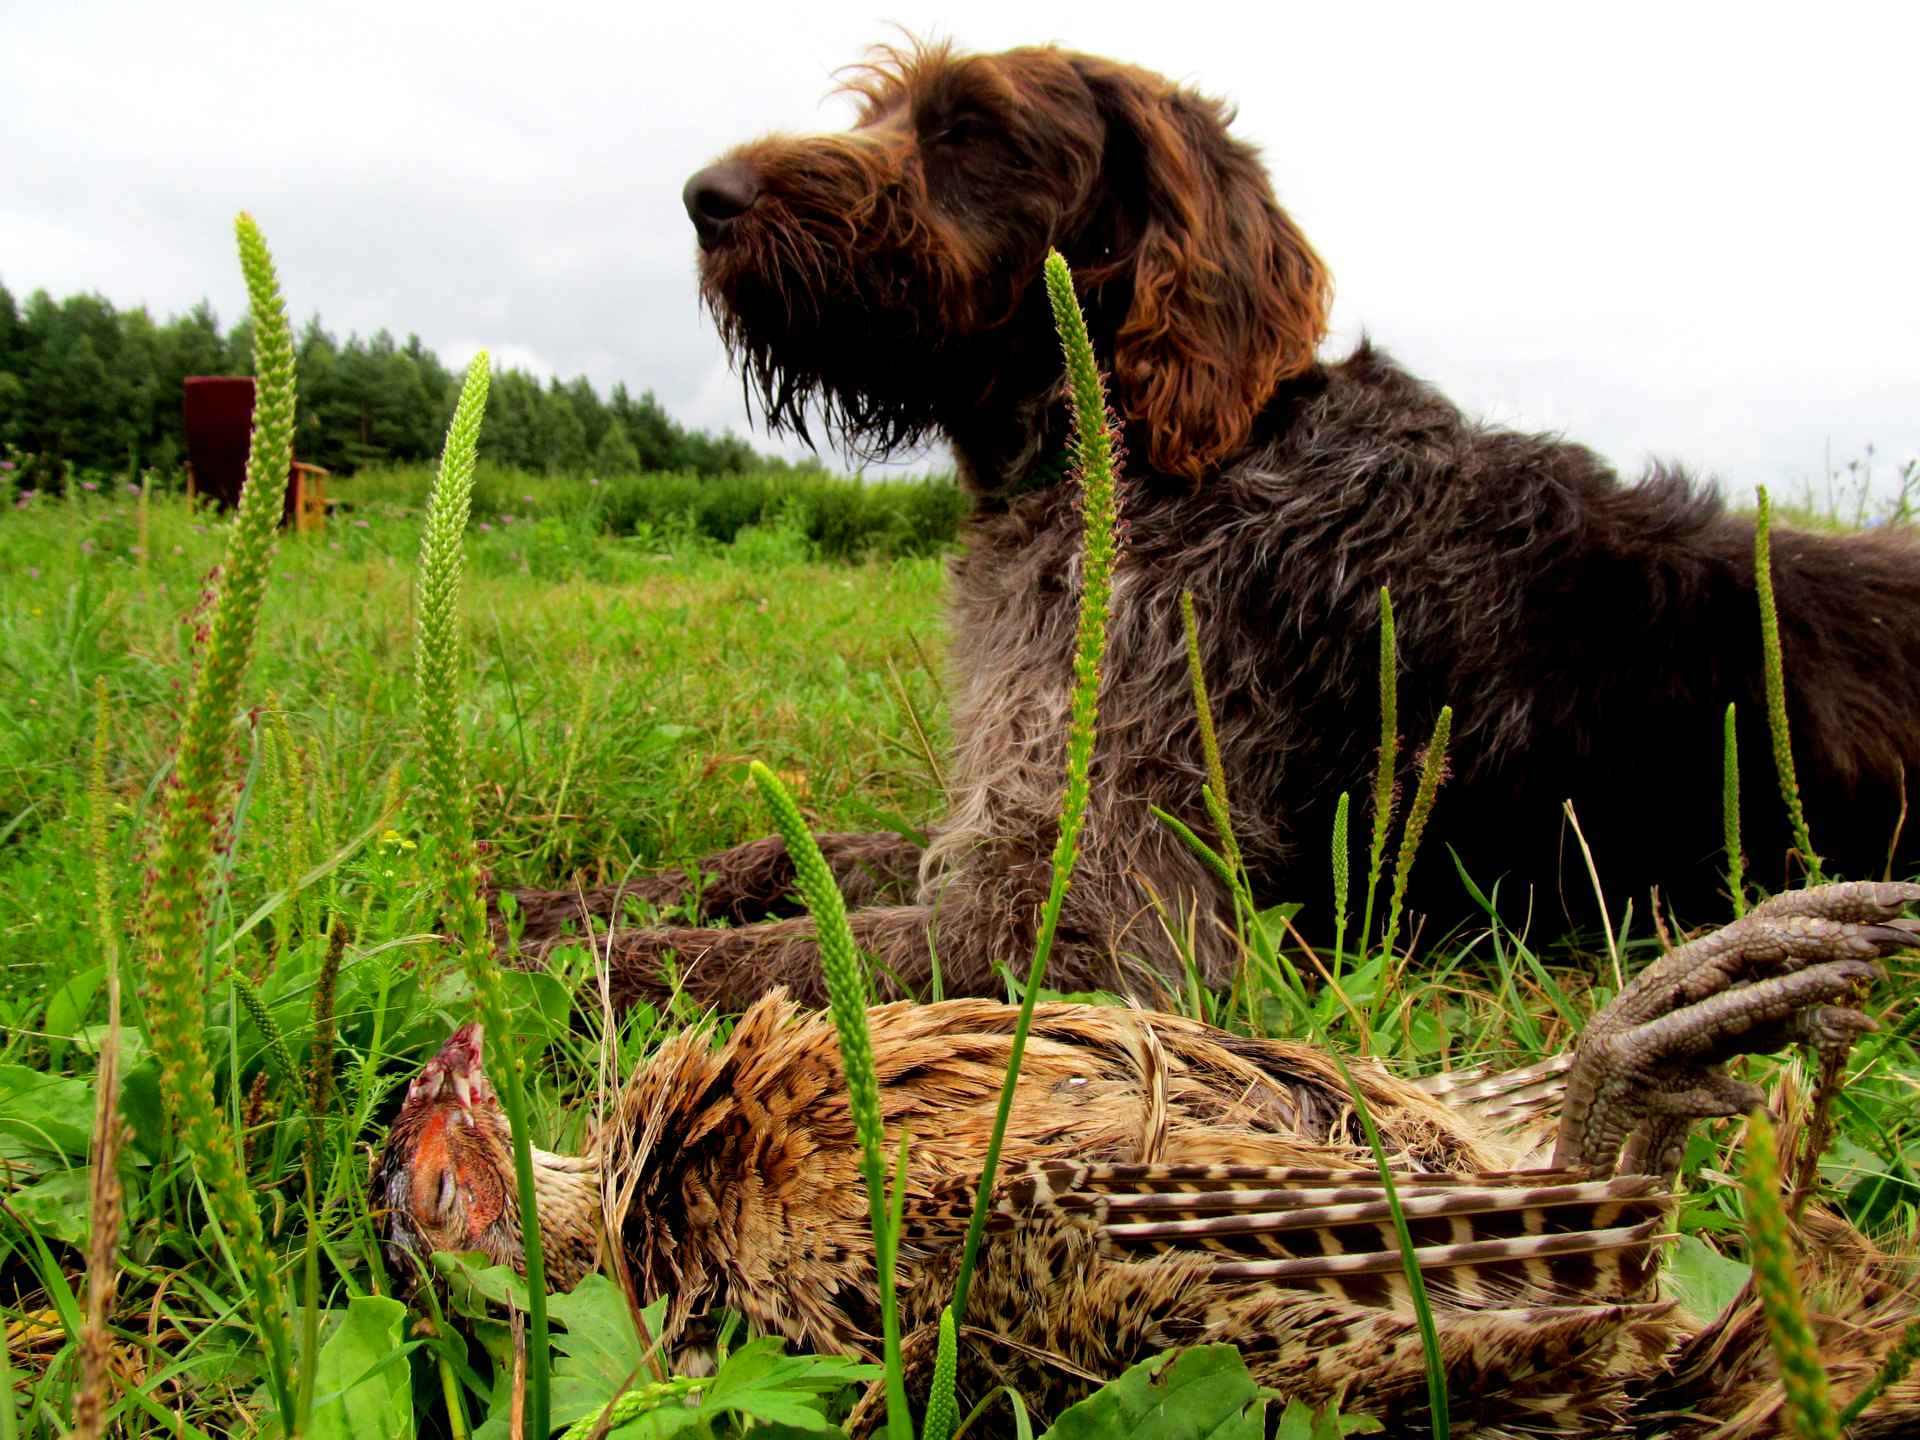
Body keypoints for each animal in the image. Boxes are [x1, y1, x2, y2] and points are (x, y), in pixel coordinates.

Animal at [510, 42, 1920, 1013]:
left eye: (971, 131)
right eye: (879, 113)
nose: (707, 195)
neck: (1130, 456)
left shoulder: (1100, 920)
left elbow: (768, 954)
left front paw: (547, 954)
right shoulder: (1014, 822)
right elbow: (797, 854)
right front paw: (550, 896)